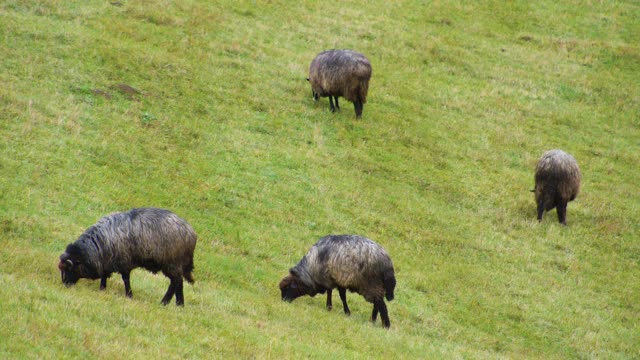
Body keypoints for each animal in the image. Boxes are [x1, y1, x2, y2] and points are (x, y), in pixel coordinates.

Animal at [57, 208, 198, 306]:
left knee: (175, 281)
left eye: (69, 269)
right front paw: (102, 289)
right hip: (177, 264)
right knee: (179, 281)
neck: (98, 245)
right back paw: (180, 304)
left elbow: (125, 279)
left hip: (171, 262)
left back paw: (164, 302)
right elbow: (104, 275)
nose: (65, 284)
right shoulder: (107, 261)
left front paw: (129, 295)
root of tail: (191, 233)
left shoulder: (124, 262)